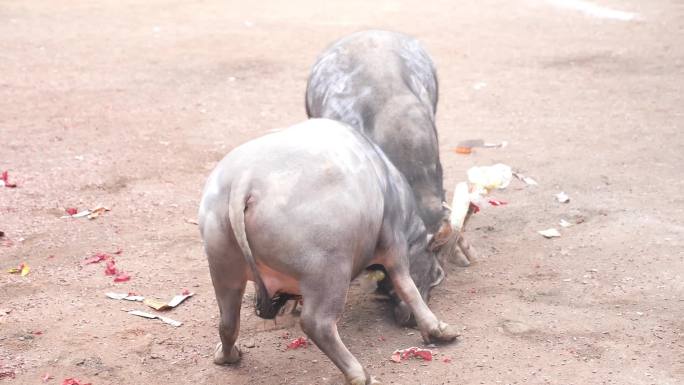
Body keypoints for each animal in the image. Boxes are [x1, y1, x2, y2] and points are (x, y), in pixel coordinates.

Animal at [199, 118, 454, 382]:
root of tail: (245, 180)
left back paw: (227, 355)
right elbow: (407, 286)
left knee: (228, 322)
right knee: (317, 324)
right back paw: (359, 374)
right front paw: (437, 329)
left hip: (225, 271)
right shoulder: (394, 244)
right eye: (437, 272)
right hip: (330, 272)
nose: (408, 320)